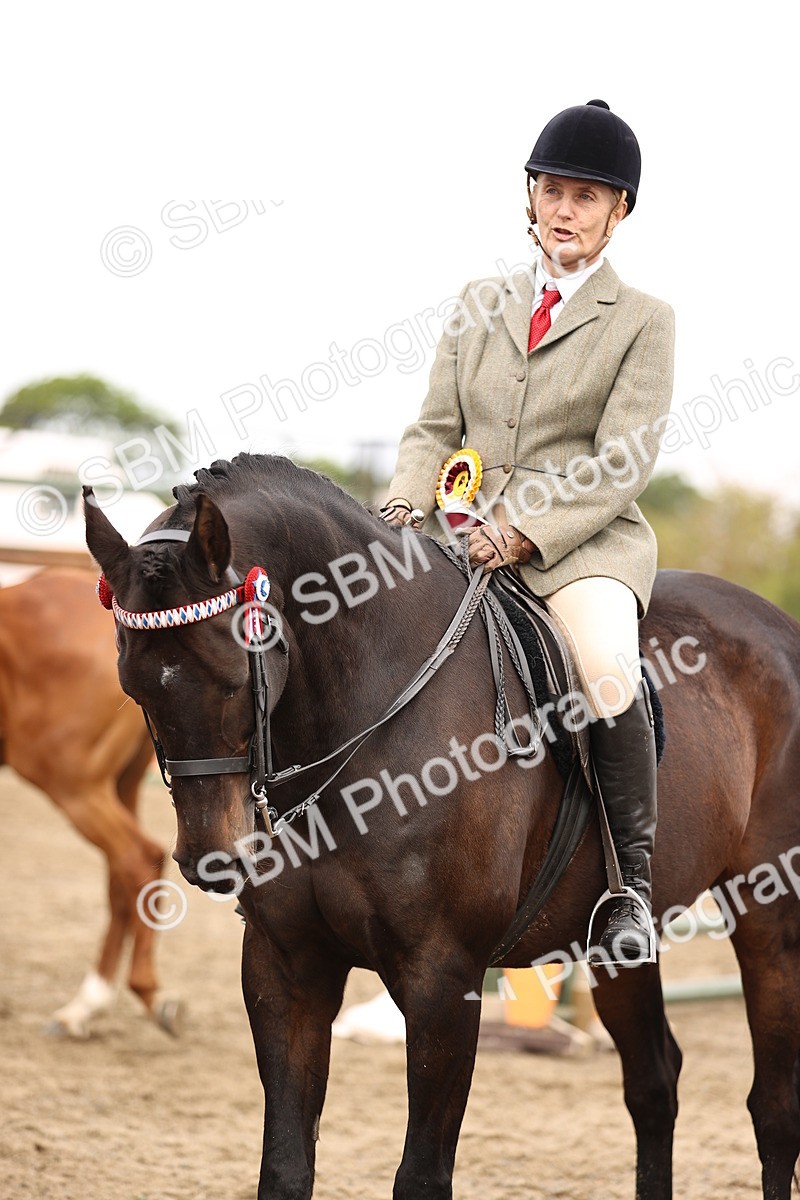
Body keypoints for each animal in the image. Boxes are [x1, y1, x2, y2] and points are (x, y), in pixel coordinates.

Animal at [0, 567, 181, 1038]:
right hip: (120, 784)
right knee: (125, 875)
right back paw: (87, 1004)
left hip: (75, 787)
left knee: (138, 858)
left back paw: (145, 992)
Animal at [84, 452, 800, 1200]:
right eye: (133, 684)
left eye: (233, 675)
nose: (212, 858)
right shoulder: (285, 967)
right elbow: (284, 1166)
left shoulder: (443, 979)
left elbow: (422, 1175)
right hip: (617, 949)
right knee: (655, 1082)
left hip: (769, 913)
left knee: (773, 1107)